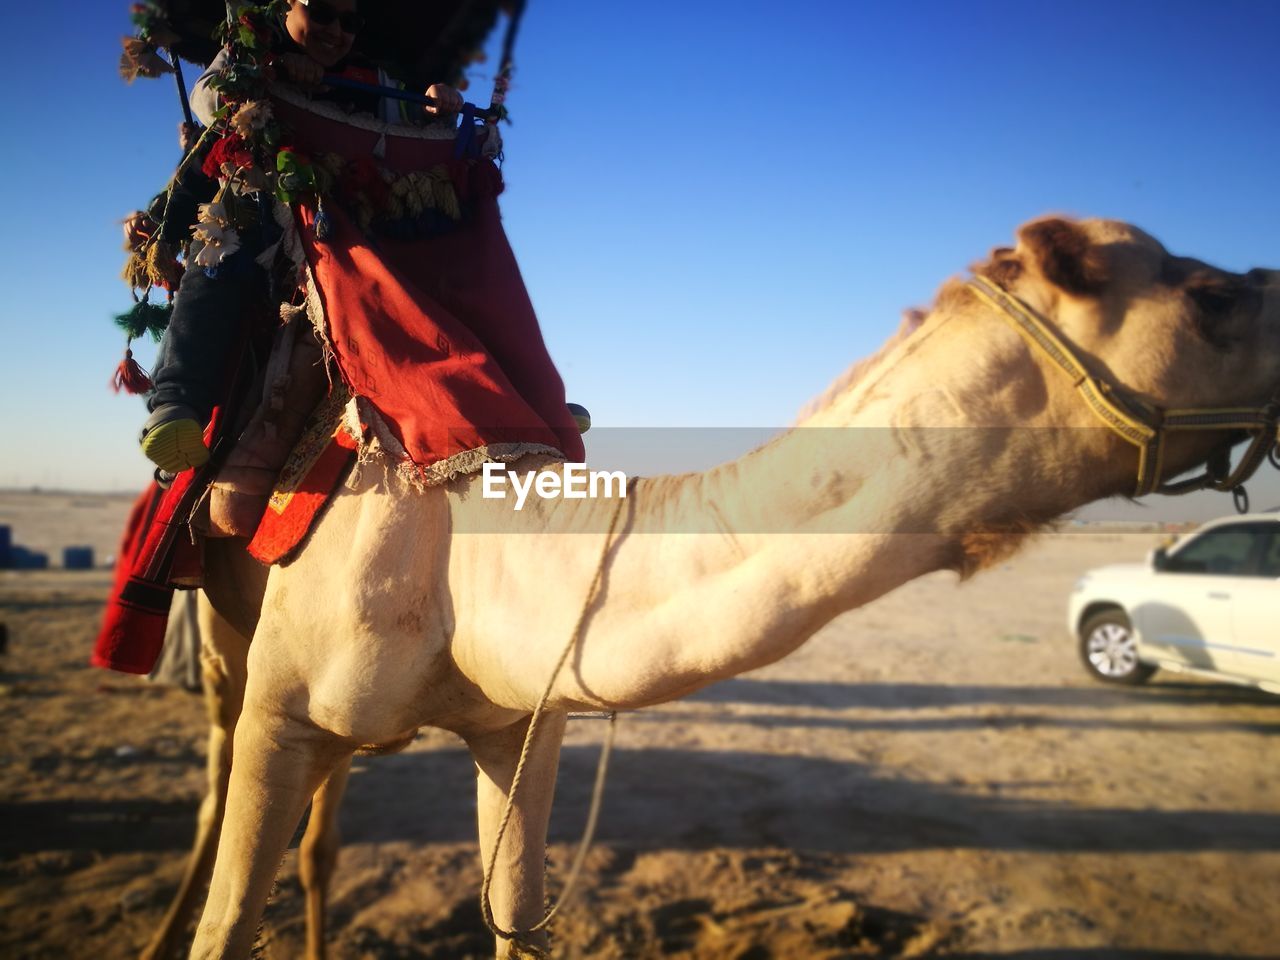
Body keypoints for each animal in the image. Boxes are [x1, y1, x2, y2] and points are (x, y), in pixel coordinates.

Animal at [167, 213, 1269, 957]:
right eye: (1211, 298)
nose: (1273, 282)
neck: (466, 558)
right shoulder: (282, 714)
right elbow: (227, 925)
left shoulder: (518, 726)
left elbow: (517, 921)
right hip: (227, 648)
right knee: (216, 793)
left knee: (323, 838)